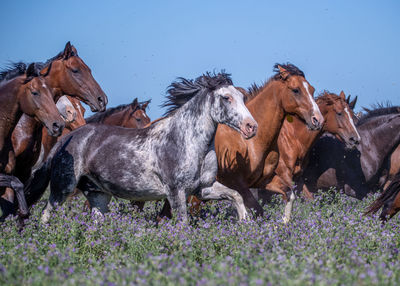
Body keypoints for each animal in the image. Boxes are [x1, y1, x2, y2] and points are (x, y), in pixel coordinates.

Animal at [25, 71, 258, 223]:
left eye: (242, 97)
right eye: (226, 98)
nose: (251, 127)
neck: (187, 142)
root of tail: (66, 140)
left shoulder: (203, 189)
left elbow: (235, 195)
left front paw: (244, 223)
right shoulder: (176, 192)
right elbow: (182, 223)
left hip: (98, 195)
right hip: (62, 188)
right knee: (46, 213)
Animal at [252, 90, 360, 222]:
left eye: (352, 115)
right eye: (339, 113)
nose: (355, 139)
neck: (292, 138)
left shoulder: (298, 177)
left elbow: (310, 200)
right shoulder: (284, 175)